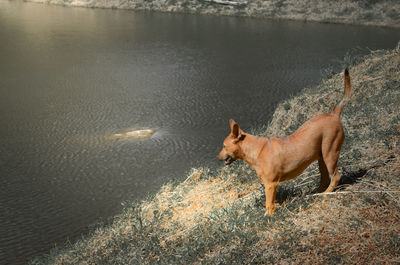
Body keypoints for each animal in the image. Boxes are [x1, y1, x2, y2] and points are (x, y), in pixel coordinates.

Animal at [217, 68, 352, 214]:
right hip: (321, 157)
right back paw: (317, 192)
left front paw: (268, 216)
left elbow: (268, 204)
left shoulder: (270, 185)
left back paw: (326, 194)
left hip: (330, 154)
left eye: (224, 146)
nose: (217, 158)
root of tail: (333, 114)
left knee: (335, 177)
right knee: (325, 177)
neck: (256, 150)